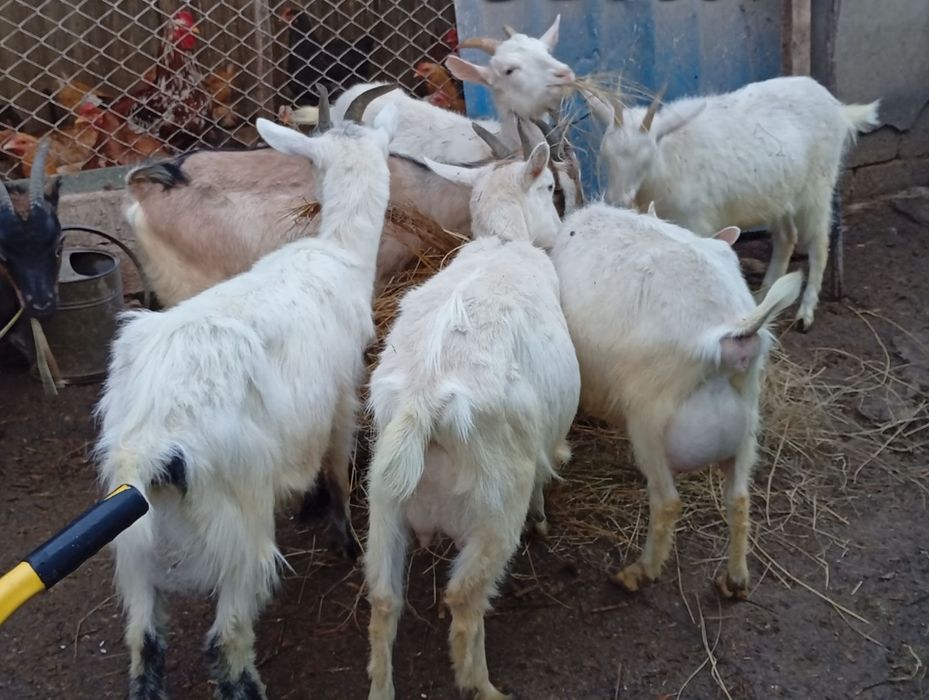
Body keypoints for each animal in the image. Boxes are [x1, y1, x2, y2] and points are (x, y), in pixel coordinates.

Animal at [95, 105, 398, 700]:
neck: (340, 252)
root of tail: (154, 447)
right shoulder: (341, 396)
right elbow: (336, 467)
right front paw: (344, 539)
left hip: (134, 550)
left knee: (145, 643)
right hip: (240, 528)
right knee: (226, 639)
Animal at [365, 139, 580, 700]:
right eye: (550, 187)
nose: (558, 233)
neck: (503, 243)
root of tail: (422, 404)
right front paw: (543, 518)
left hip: (385, 503)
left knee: (383, 599)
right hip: (494, 508)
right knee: (464, 598)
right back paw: (483, 685)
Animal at [549, 203, 802, 598]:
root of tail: (730, 336)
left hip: (650, 419)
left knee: (667, 502)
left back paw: (640, 572)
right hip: (747, 422)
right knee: (740, 498)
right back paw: (735, 579)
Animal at [585, 76, 880, 330]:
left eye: (647, 157)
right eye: (606, 155)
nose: (617, 200)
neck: (667, 163)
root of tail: (840, 110)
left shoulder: (697, 222)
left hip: (817, 187)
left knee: (819, 243)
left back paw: (805, 314)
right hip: (777, 195)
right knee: (787, 237)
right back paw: (762, 297)